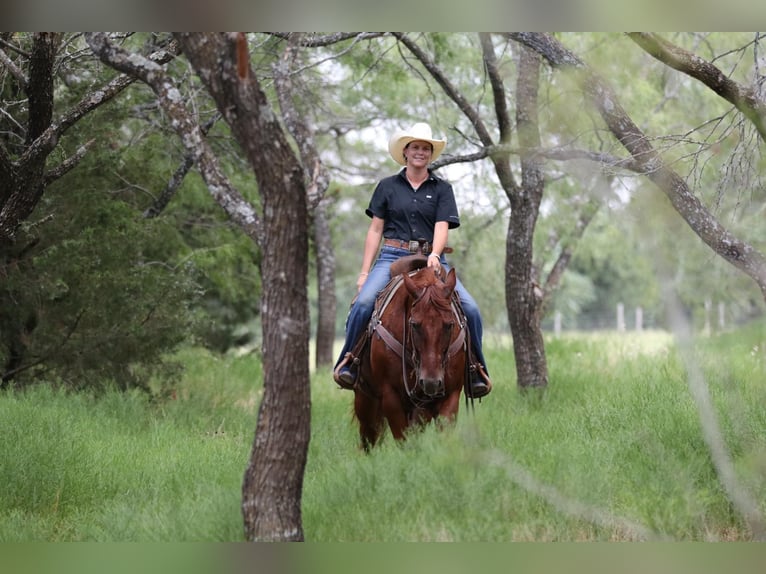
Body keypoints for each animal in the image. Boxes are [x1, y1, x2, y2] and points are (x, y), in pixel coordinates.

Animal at [352, 258, 468, 454]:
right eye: (414, 324)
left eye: (449, 324)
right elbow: (403, 439)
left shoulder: (450, 395)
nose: (431, 382)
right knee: (368, 435)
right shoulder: (390, 395)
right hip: (365, 397)